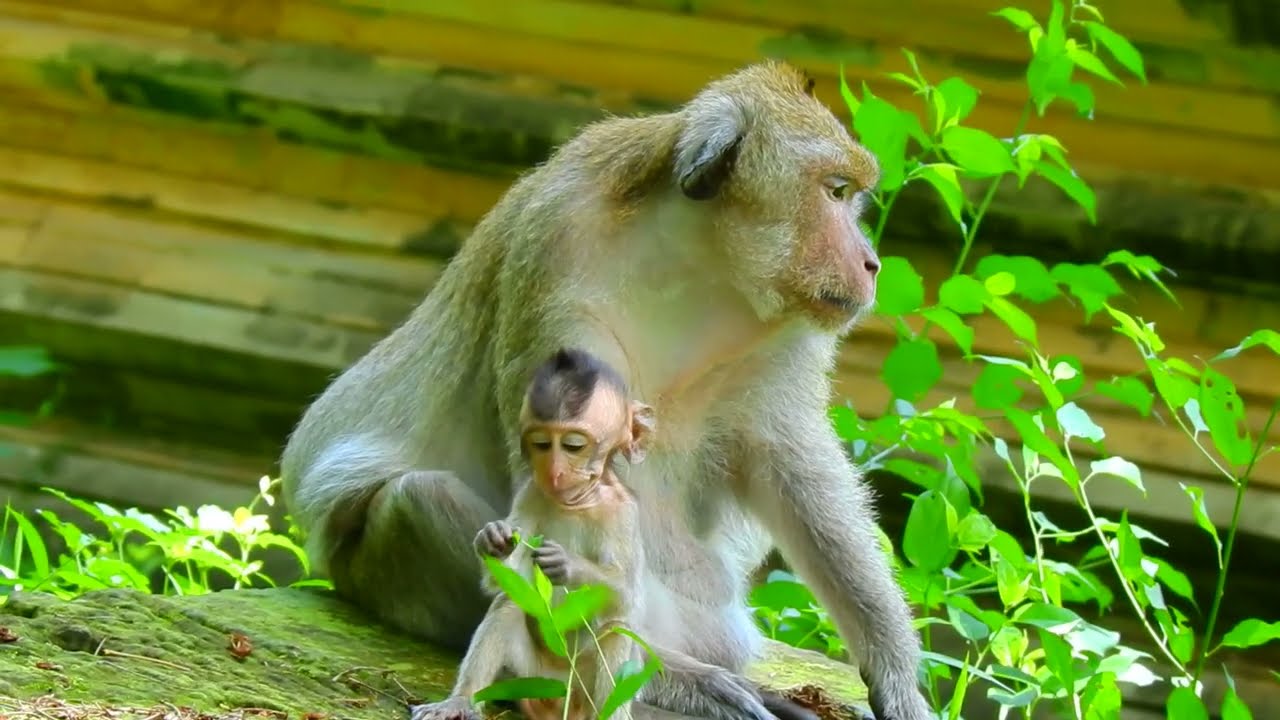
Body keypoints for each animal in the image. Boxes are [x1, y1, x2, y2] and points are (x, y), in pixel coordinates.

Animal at [280, 61, 930, 720]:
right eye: (836, 192)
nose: (871, 262)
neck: (695, 261)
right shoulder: (559, 243)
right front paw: (677, 677)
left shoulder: (789, 330)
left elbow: (791, 461)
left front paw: (896, 673)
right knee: (416, 497)